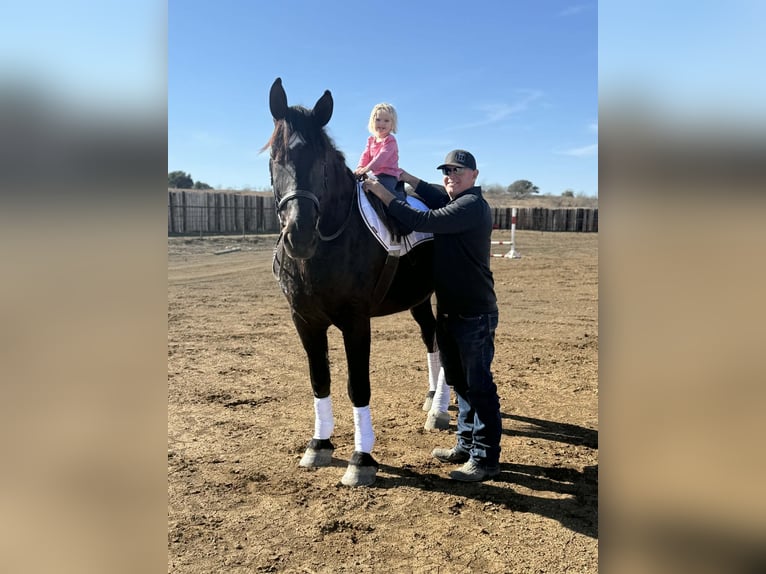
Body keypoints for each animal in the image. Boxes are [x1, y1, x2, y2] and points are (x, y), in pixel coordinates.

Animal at [263, 77, 450, 486]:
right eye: (275, 158)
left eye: (321, 161)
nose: (299, 234)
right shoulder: (304, 320)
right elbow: (320, 379)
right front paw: (318, 445)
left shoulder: (355, 321)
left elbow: (357, 385)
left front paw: (361, 459)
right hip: (418, 298)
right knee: (431, 337)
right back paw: (433, 398)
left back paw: (440, 411)